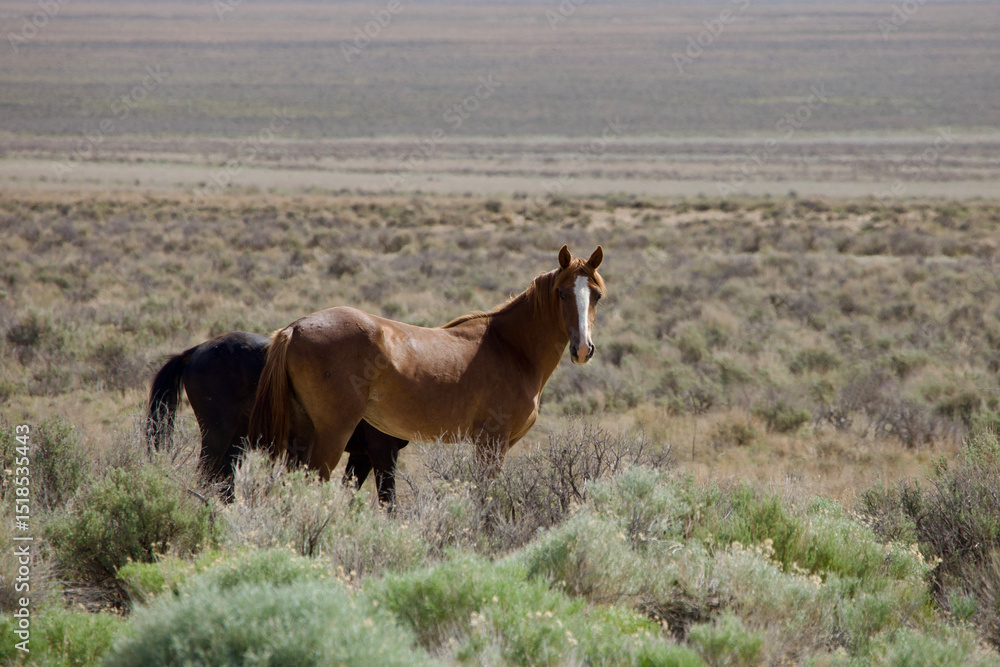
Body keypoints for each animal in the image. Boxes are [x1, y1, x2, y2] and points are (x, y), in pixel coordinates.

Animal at [145, 331, 408, 505]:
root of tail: (196, 350)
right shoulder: (381, 451)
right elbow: (388, 499)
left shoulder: (362, 456)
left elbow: (349, 493)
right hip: (217, 433)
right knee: (206, 473)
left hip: (237, 439)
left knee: (224, 477)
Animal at [249, 244, 605, 481]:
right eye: (561, 293)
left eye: (597, 295)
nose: (582, 349)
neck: (511, 347)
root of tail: (296, 328)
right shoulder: (491, 443)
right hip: (331, 434)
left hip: (301, 433)